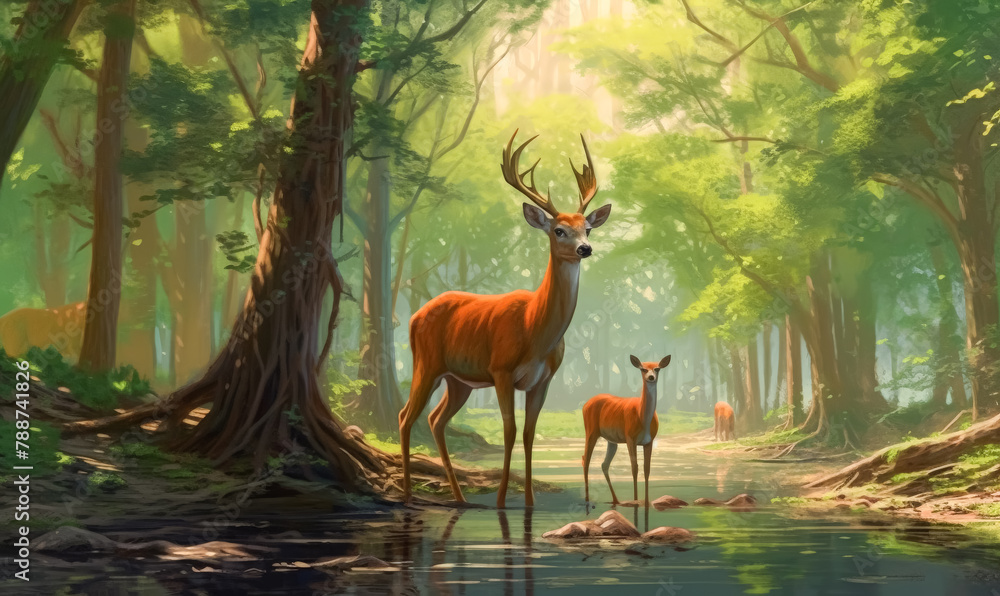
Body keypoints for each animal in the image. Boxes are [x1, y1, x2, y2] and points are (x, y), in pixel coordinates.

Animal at [399, 130, 612, 509]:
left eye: (588, 228)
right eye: (559, 230)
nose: (585, 249)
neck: (535, 330)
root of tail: (415, 314)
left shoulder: (543, 380)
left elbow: (529, 433)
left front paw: (529, 501)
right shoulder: (500, 370)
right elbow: (510, 431)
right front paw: (501, 500)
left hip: (459, 380)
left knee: (435, 420)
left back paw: (460, 498)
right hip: (426, 361)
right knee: (406, 416)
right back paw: (408, 494)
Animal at [582, 355, 671, 506]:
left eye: (657, 368)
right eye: (643, 369)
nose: (651, 377)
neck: (642, 417)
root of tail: (585, 405)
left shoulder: (649, 441)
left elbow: (646, 469)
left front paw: (646, 502)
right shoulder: (630, 438)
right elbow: (634, 468)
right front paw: (635, 500)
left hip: (611, 441)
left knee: (604, 464)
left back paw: (616, 500)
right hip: (590, 431)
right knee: (585, 460)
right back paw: (587, 500)